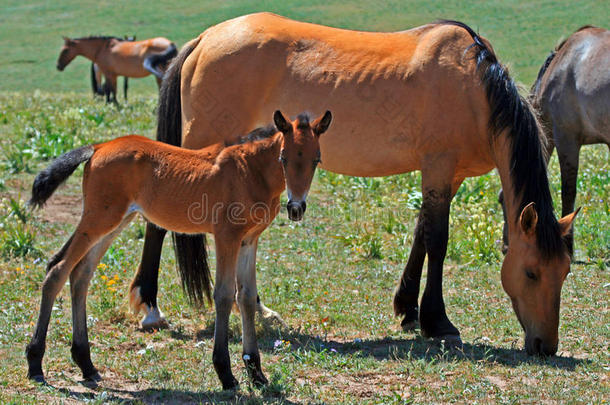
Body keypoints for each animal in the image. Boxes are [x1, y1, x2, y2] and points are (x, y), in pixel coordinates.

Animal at [26, 110, 332, 388]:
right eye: (283, 158)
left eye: (316, 159)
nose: (296, 207)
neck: (251, 172)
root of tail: (98, 147)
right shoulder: (227, 237)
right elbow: (223, 295)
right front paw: (226, 373)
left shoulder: (249, 241)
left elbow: (246, 297)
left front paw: (256, 373)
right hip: (99, 219)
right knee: (57, 270)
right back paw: (35, 364)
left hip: (114, 222)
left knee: (80, 275)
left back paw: (86, 365)